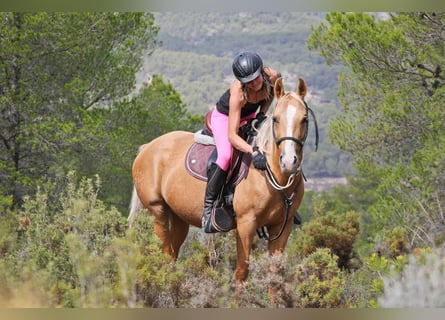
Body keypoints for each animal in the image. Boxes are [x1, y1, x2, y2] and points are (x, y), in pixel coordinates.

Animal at [129, 77, 312, 284]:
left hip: (179, 216)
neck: (272, 176)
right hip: (157, 211)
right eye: (276, 119)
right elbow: (242, 271)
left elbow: (275, 274)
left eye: (304, 119)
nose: (288, 162)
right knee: (166, 254)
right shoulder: (246, 224)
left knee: (173, 254)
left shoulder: (282, 226)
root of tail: (147, 147)